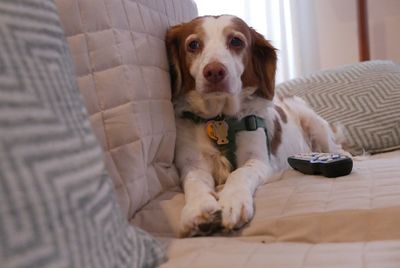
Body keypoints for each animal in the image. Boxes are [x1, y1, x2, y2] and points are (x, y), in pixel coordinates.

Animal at [166, 14, 346, 237]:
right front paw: (198, 209)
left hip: (314, 125)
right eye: (193, 44)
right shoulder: (192, 164)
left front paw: (232, 202)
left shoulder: (259, 160)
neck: (219, 117)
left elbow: (240, 173)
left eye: (236, 41)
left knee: (339, 149)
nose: (214, 71)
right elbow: (195, 182)